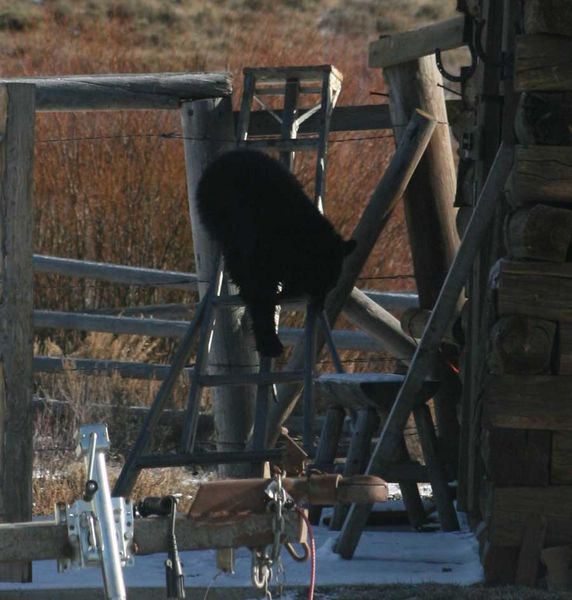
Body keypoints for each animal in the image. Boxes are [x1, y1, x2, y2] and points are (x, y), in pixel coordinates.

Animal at [199, 149, 356, 356]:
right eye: (318, 282)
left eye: (331, 285)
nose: (319, 308)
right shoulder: (258, 247)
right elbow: (259, 290)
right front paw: (270, 342)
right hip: (219, 217)